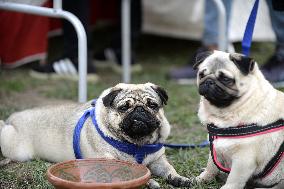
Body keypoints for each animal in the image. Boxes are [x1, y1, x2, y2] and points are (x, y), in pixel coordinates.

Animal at [0, 83, 192, 188]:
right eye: (124, 107)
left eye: (152, 105)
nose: (139, 111)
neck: (136, 143)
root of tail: (12, 118)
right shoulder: (108, 163)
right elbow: (134, 175)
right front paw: (150, 182)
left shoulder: (158, 161)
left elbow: (169, 170)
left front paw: (179, 179)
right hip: (16, 148)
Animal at [194, 50, 282, 189]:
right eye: (201, 75)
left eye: (225, 79)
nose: (208, 81)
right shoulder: (214, 149)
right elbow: (211, 166)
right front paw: (204, 178)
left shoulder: (243, 160)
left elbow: (234, 179)